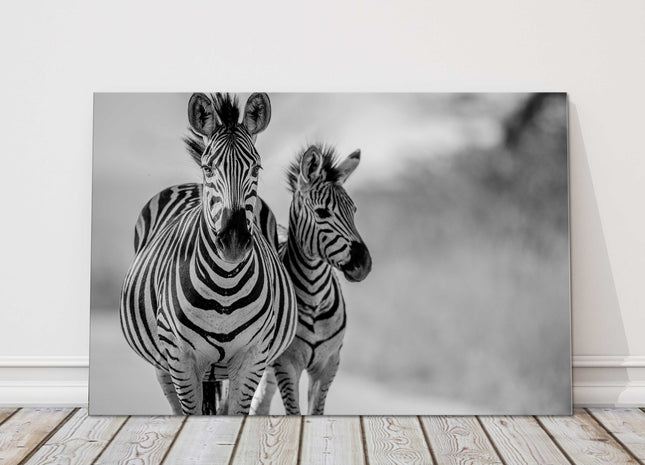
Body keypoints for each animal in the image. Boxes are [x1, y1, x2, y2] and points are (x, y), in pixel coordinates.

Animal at [120, 92, 297, 415]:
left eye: (256, 169)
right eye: (209, 168)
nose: (234, 241)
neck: (225, 286)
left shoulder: (253, 358)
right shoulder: (180, 359)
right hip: (163, 365)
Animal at [250, 144, 372, 415]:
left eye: (354, 211)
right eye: (322, 212)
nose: (364, 264)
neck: (315, 298)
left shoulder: (328, 364)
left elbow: (316, 412)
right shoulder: (287, 364)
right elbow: (294, 413)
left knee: (259, 403)